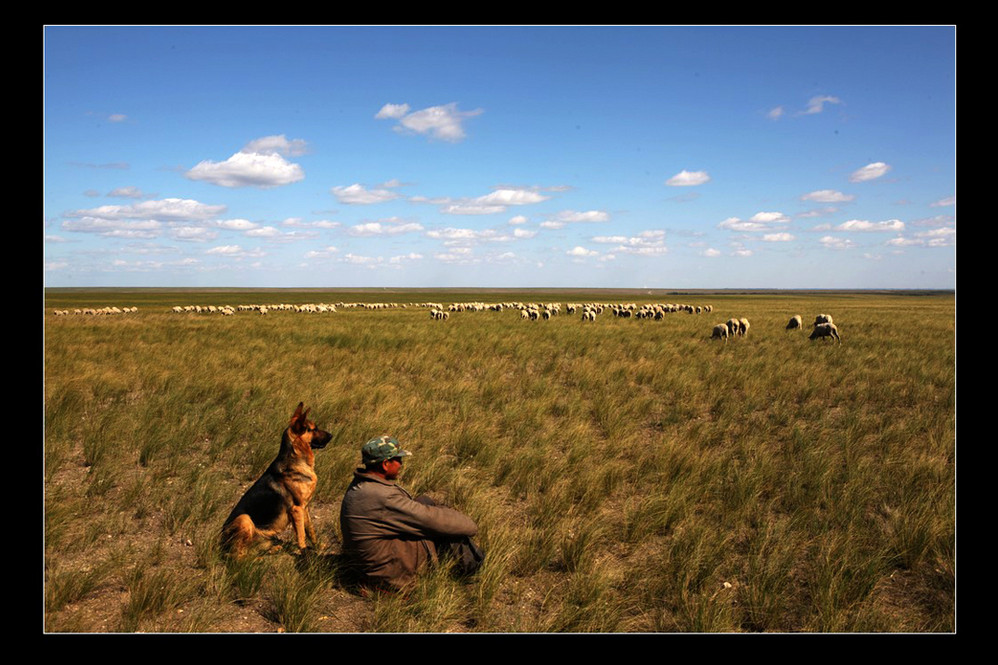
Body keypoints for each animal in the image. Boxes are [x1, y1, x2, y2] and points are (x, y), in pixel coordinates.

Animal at [221, 402, 334, 556]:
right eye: (314, 429)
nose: (332, 435)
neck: (296, 460)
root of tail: (220, 543)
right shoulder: (297, 510)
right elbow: (301, 536)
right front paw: (305, 552)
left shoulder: (305, 508)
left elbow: (311, 531)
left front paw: (318, 547)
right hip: (244, 519)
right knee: (237, 557)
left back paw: (272, 550)